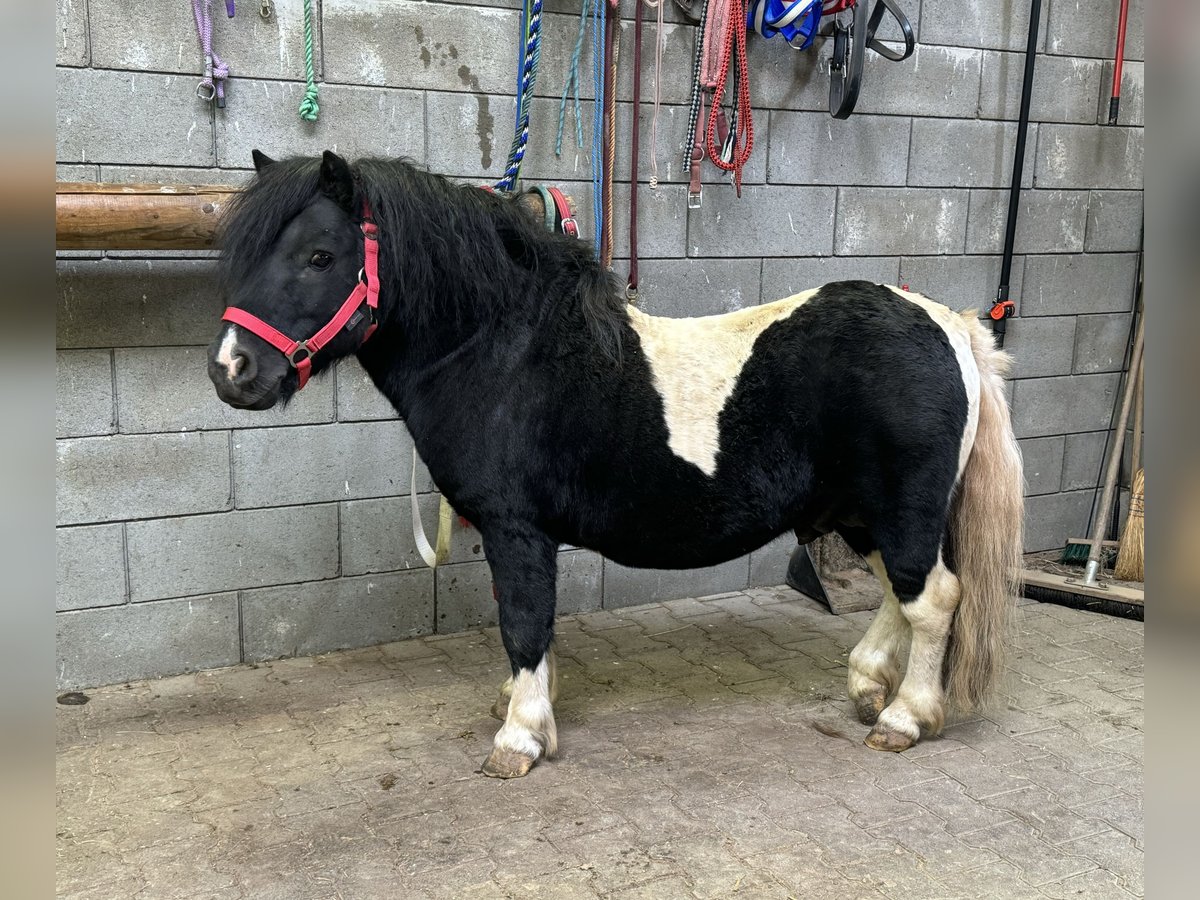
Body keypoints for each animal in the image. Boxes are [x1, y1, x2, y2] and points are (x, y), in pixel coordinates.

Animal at [208, 151, 1022, 777]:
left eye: (319, 256)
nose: (232, 371)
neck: (504, 351)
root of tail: (947, 324)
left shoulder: (516, 528)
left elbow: (524, 622)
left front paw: (519, 737)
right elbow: (528, 624)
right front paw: (526, 706)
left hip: (902, 509)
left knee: (932, 599)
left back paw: (904, 718)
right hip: (859, 512)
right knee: (897, 591)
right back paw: (868, 685)